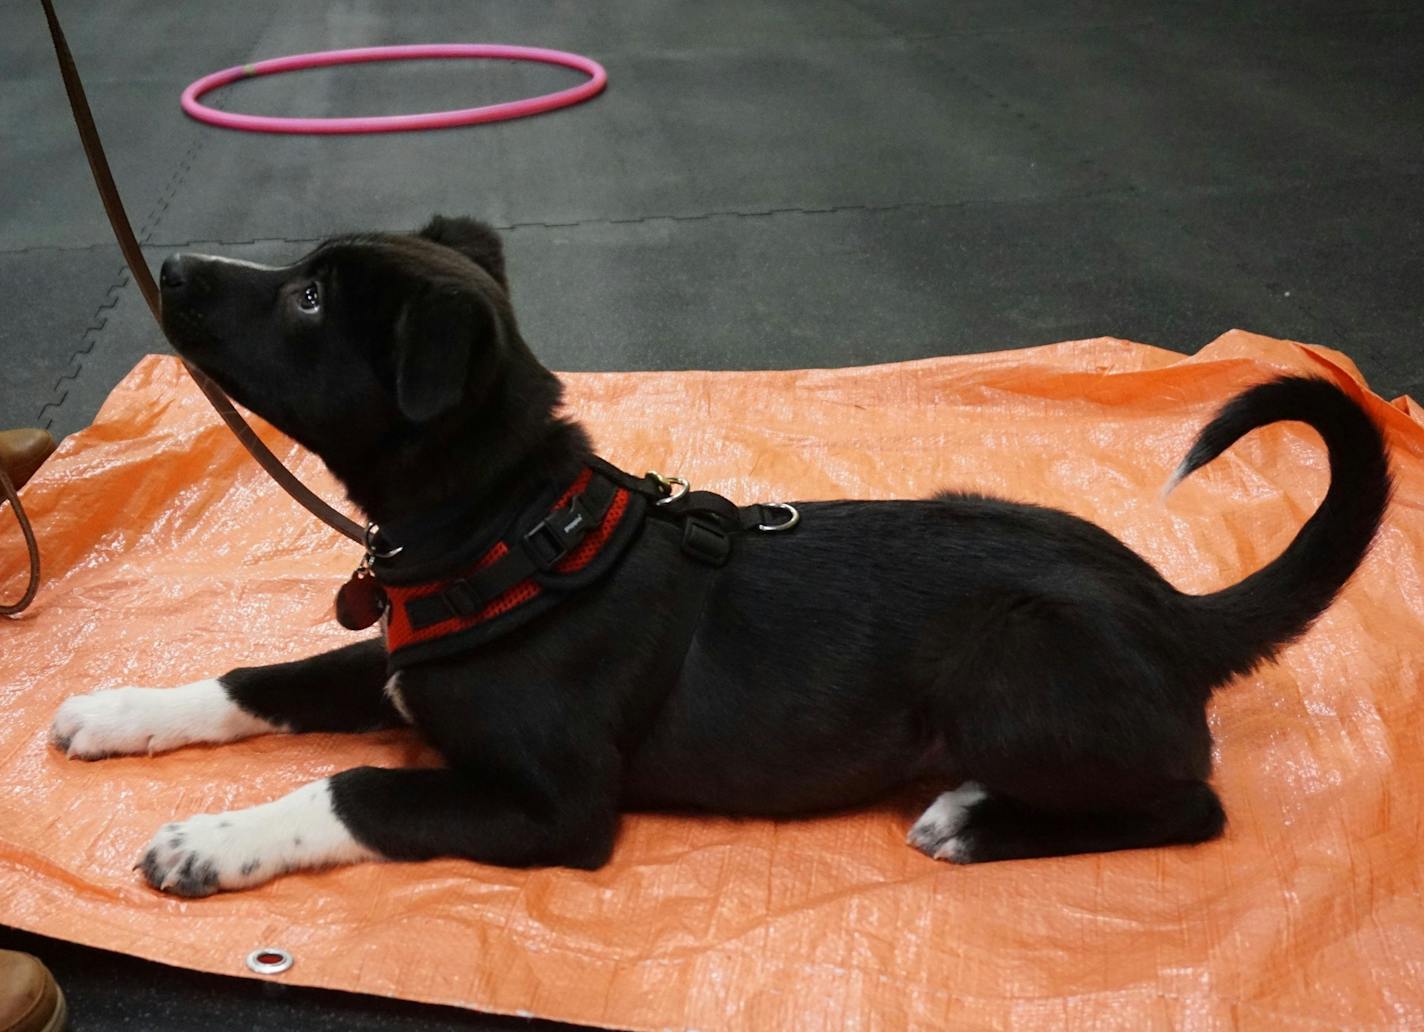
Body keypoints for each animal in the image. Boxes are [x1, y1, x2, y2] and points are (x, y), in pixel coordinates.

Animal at [50, 214, 1384, 893]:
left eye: (313, 300)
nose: (171, 265)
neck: (507, 523)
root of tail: (1170, 608)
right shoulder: (393, 663)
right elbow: (252, 679)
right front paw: (120, 710)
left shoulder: (554, 807)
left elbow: (352, 791)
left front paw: (210, 841)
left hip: (1015, 663)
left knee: (1189, 805)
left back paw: (975, 822)